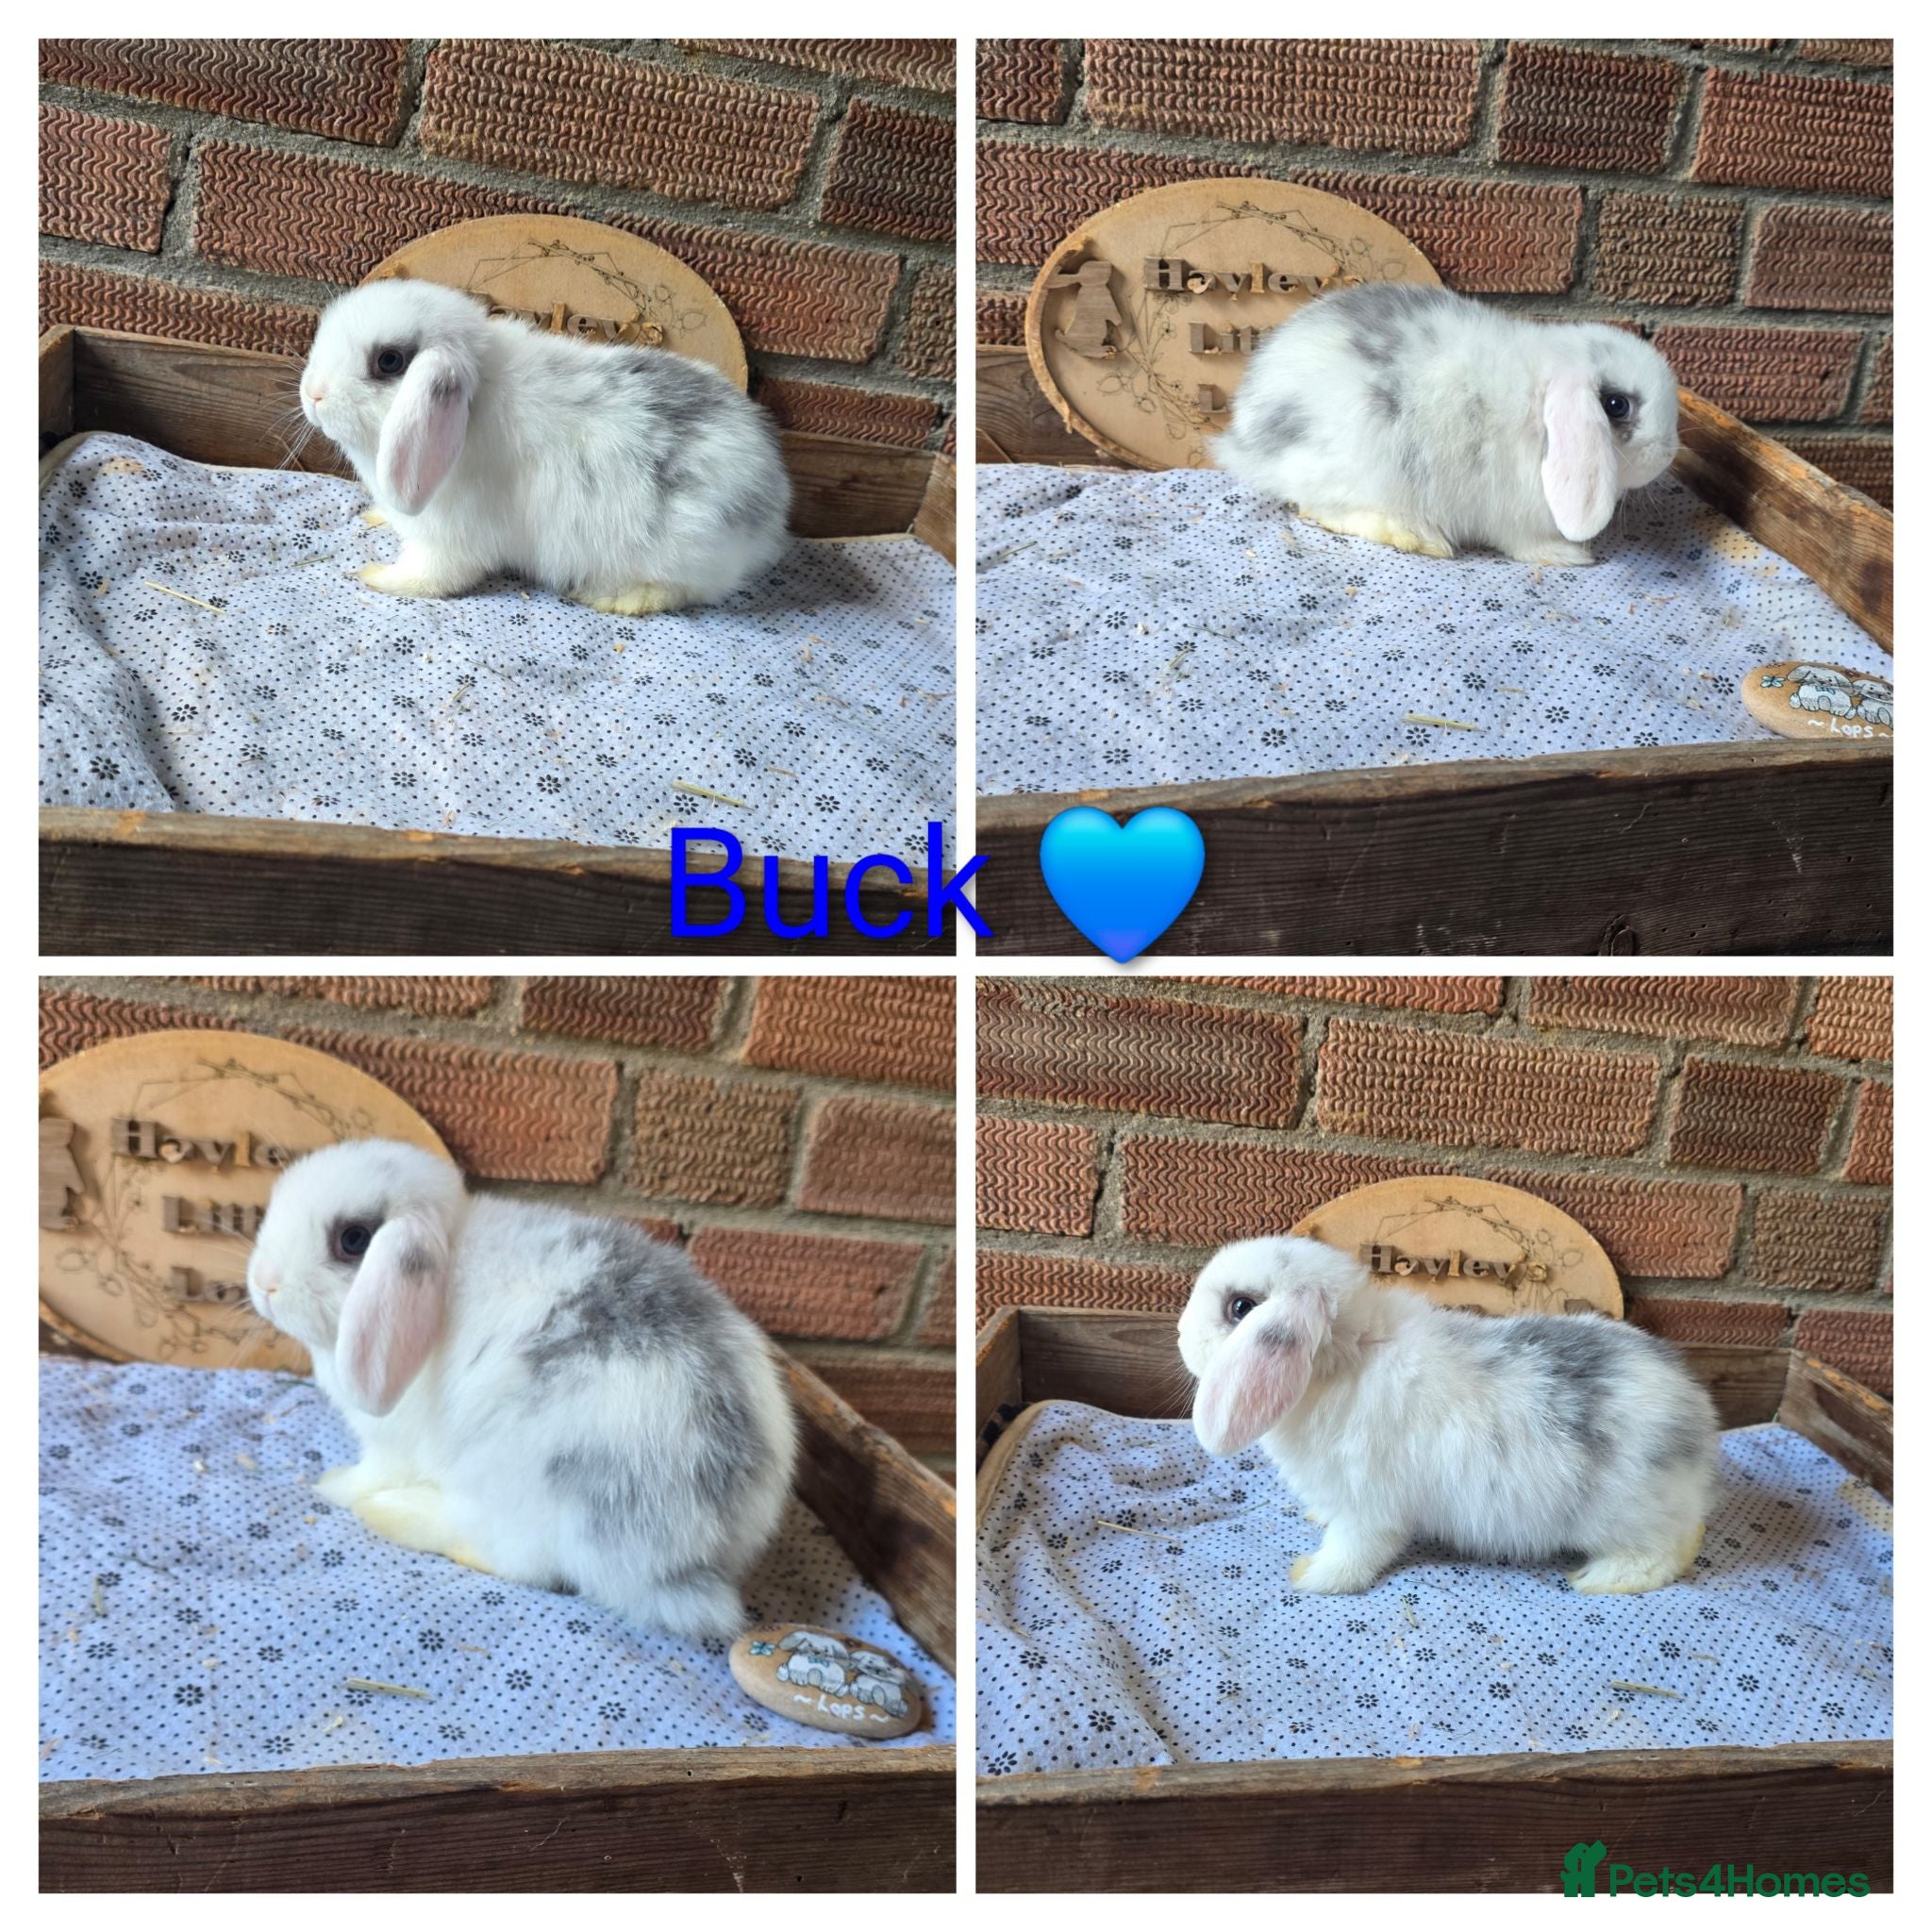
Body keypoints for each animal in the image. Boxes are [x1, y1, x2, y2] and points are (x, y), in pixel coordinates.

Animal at [245, 1137, 797, 1641]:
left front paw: (332, 1484)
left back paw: (396, 1513)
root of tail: (695, 1553)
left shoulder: (391, 1446)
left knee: (519, 1561)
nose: (264, 1284)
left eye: (354, 1239)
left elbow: (369, 1473)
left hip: (513, 1485)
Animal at [299, 277, 791, 613]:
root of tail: (772, 504)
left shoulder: (447, 543)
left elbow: (428, 579)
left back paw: (614, 598)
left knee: (679, 591)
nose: (312, 395)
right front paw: (377, 515)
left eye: (388, 361)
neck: (477, 402)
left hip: (680, 554)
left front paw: (375, 576)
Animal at [1177, 1235, 1717, 1596]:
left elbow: (1351, 1554)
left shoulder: (1368, 1510)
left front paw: (1310, 1576)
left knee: (1670, 1552)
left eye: (1241, 1308)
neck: (1349, 1356)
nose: (1180, 1336)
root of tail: (1698, 1417)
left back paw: (1601, 1580)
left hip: (1629, 1515)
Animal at [1215, 282, 1681, 567]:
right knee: (1319, 509)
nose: (1668, 452)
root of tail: (1246, 434)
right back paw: (1416, 536)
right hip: (1362, 465)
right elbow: (1525, 544)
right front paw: (1570, 554)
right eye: (1616, 405)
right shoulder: (1515, 516)